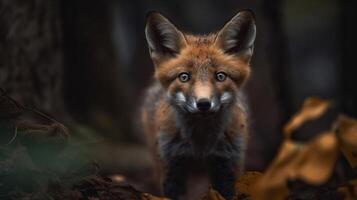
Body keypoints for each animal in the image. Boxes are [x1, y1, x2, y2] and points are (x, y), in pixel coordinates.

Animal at [140, 9, 254, 200]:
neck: (201, 146)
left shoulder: (228, 164)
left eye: (220, 76)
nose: (203, 104)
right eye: (184, 77)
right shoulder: (172, 165)